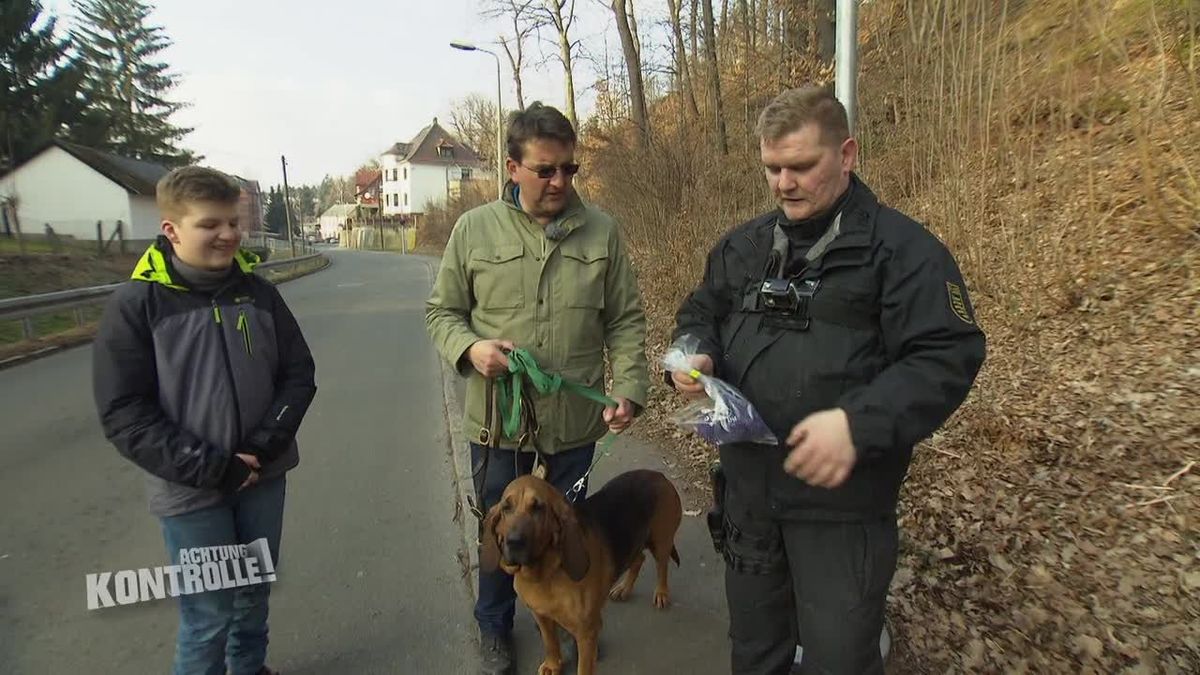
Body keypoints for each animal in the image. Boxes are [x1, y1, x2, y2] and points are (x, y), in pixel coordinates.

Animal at [480, 468, 686, 672]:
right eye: (506, 508)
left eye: (538, 508)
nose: (514, 542)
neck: (545, 574)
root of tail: (659, 475)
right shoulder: (541, 616)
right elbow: (550, 643)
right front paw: (553, 665)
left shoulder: (586, 634)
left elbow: (583, 667)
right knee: (639, 559)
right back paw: (624, 589)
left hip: (660, 542)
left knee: (662, 566)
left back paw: (661, 593)